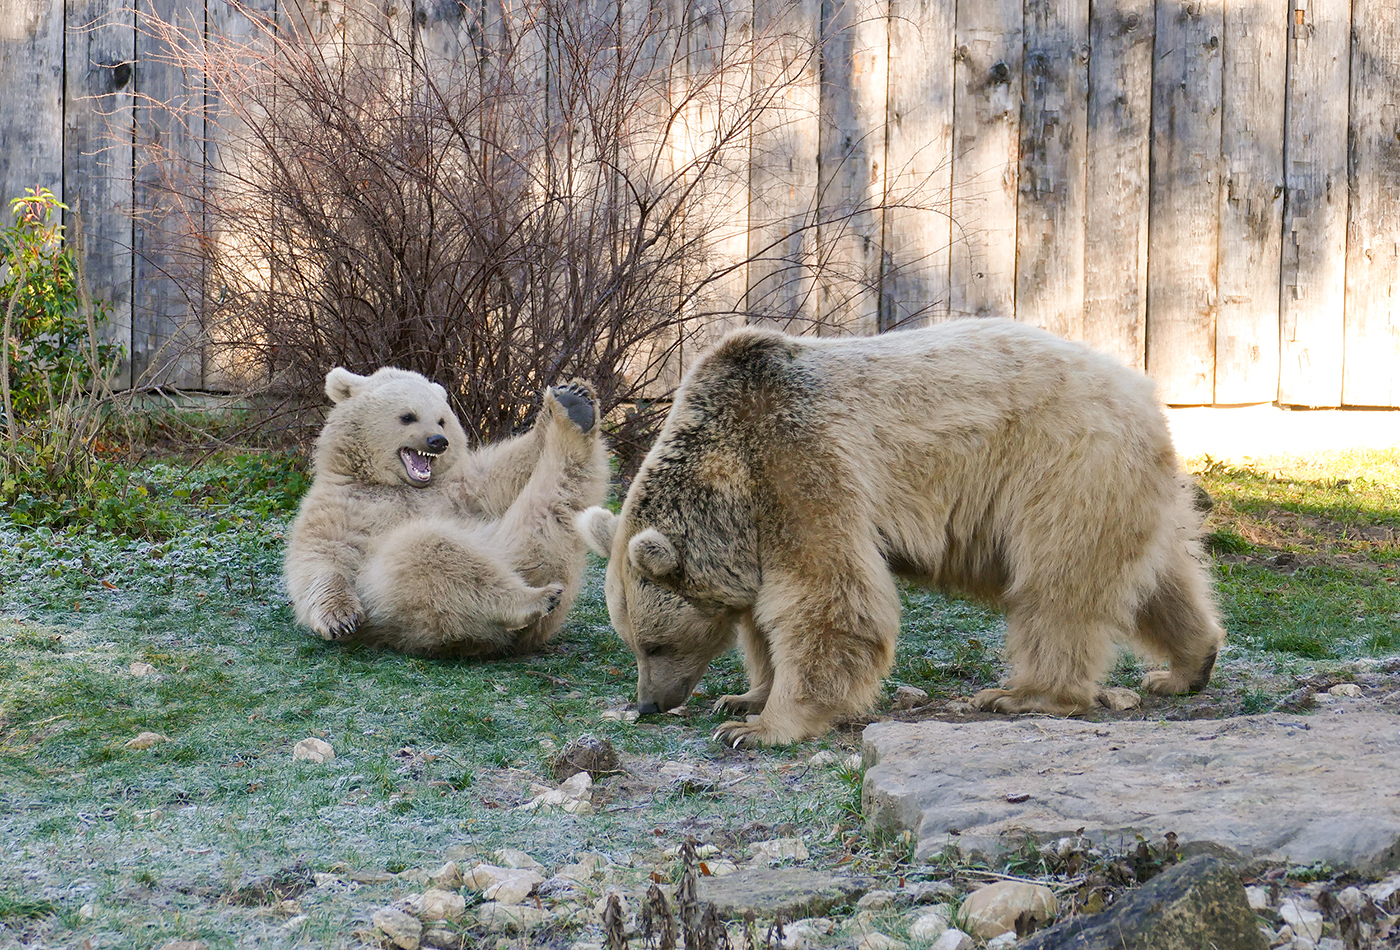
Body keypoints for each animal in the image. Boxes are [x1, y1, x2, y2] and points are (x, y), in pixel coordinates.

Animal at [284, 366, 607, 657]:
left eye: (441, 420)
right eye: (408, 416)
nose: (437, 441)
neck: (395, 483)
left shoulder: (459, 489)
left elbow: (505, 473)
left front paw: (565, 399)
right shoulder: (342, 502)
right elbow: (322, 554)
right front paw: (341, 617)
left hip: (525, 542)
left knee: (556, 504)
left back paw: (576, 413)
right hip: (401, 604)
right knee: (432, 552)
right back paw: (534, 599)